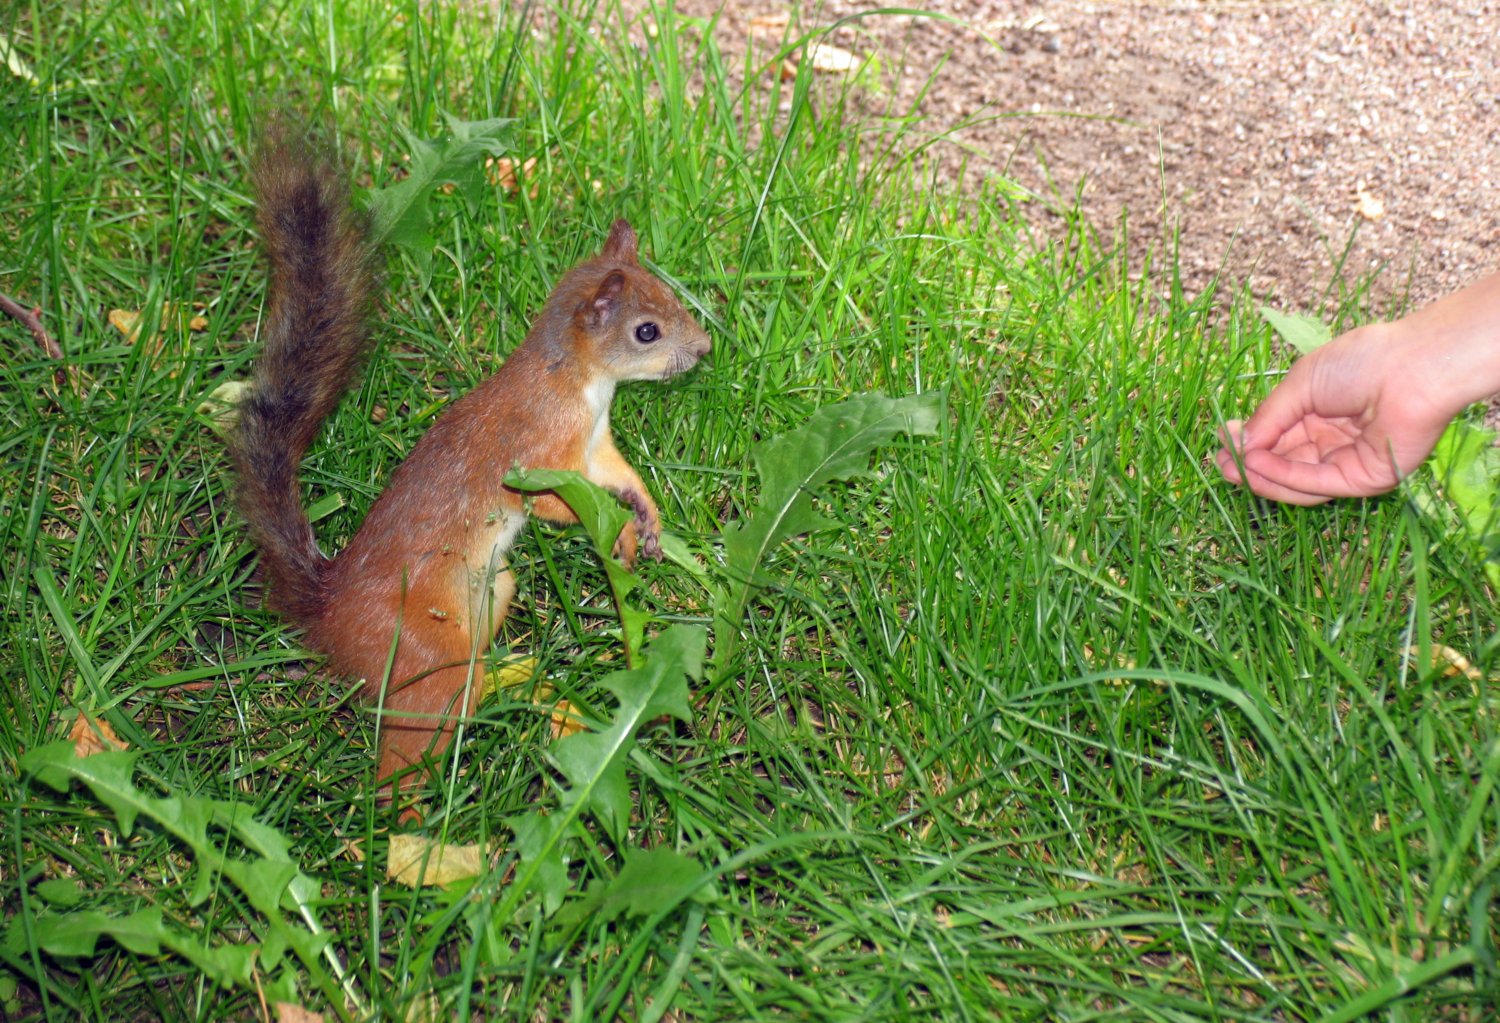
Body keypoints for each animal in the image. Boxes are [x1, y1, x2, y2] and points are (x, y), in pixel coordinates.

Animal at [228, 135, 708, 798]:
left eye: (672, 297)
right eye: (647, 330)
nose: (705, 348)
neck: (580, 382)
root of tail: (329, 613)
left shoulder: (595, 447)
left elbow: (620, 476)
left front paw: (644, 516)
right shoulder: (535, 455)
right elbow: (556, 504)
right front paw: (618, 529)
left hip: (493, 591)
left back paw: (519, 680)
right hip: (425, 658)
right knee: (414, 740)